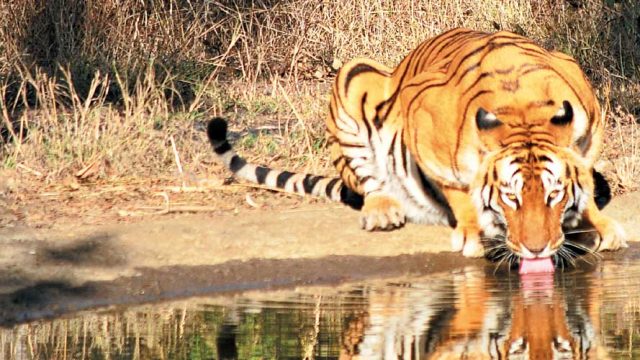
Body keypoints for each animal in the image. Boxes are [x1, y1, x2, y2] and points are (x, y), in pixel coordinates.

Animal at [208, 27, 628, 262]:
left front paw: (600, 226)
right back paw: (382, 211)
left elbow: (584, 183)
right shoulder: (423, 128)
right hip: (354, 74)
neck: (521, 109)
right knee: (371, 180)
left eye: (554, 194)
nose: (536, 250)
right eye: (511, 197)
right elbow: (457, 191)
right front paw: (473, 233)